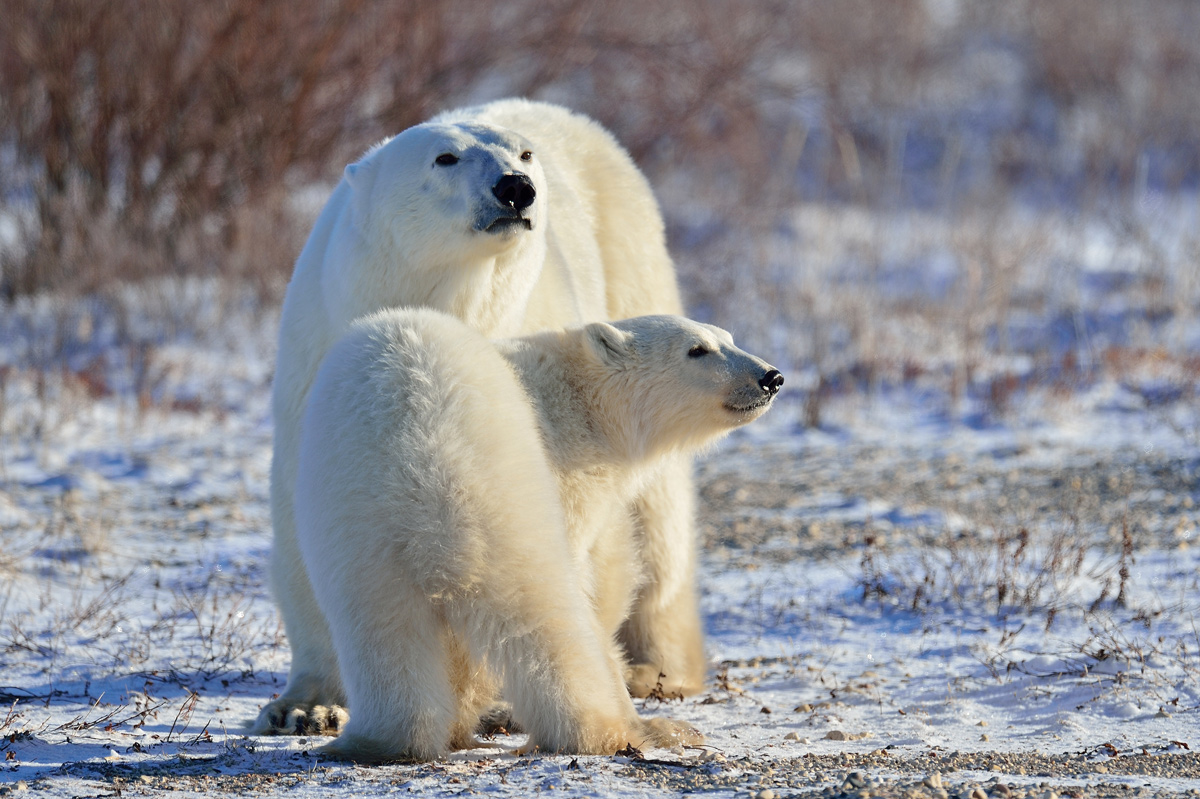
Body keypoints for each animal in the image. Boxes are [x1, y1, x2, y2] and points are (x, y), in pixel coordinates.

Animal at [254, 96, 700, 729]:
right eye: (445, 157)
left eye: (525, 152)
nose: (516, 188)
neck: (454, 301)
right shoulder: (319, 370)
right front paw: (307, 705)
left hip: (630, 260)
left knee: (658, 515)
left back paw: (655, 666)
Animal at [295, 305, 782, 758]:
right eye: (696, 349)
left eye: (728, 337)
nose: (771, 377)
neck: (581, 400)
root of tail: (422, 459)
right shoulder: (567, 473)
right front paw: (659, 724)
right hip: (507, 506)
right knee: (542, 618)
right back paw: (602, 732)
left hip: (357, 535)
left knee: (383, 630)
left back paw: (384, 741)